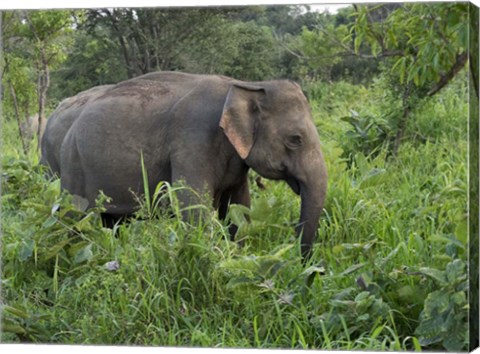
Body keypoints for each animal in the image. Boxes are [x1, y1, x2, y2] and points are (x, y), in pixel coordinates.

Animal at [41, 72, 328, 260]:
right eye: (295, 139)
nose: (303, 264)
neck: (245, 85)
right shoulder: (192, 140)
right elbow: (194, 207)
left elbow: (238, 208)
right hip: (72, 165)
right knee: (74, 219)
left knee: (111, 222)